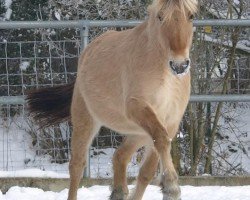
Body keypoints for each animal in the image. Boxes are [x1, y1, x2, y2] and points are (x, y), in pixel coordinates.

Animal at [26, 0, 198, 199]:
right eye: (160, 16)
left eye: (191, 16)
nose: (179, 65)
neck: (165, 76)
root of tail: (88, 51)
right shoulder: (137, 107)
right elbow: (161, 141)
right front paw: (171, 186)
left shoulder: (170, 122)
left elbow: (148, 168)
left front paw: (169, 187)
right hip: (86, 120)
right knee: (77, 166)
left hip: (138, 133)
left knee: (120, 157)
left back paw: (119, 191)